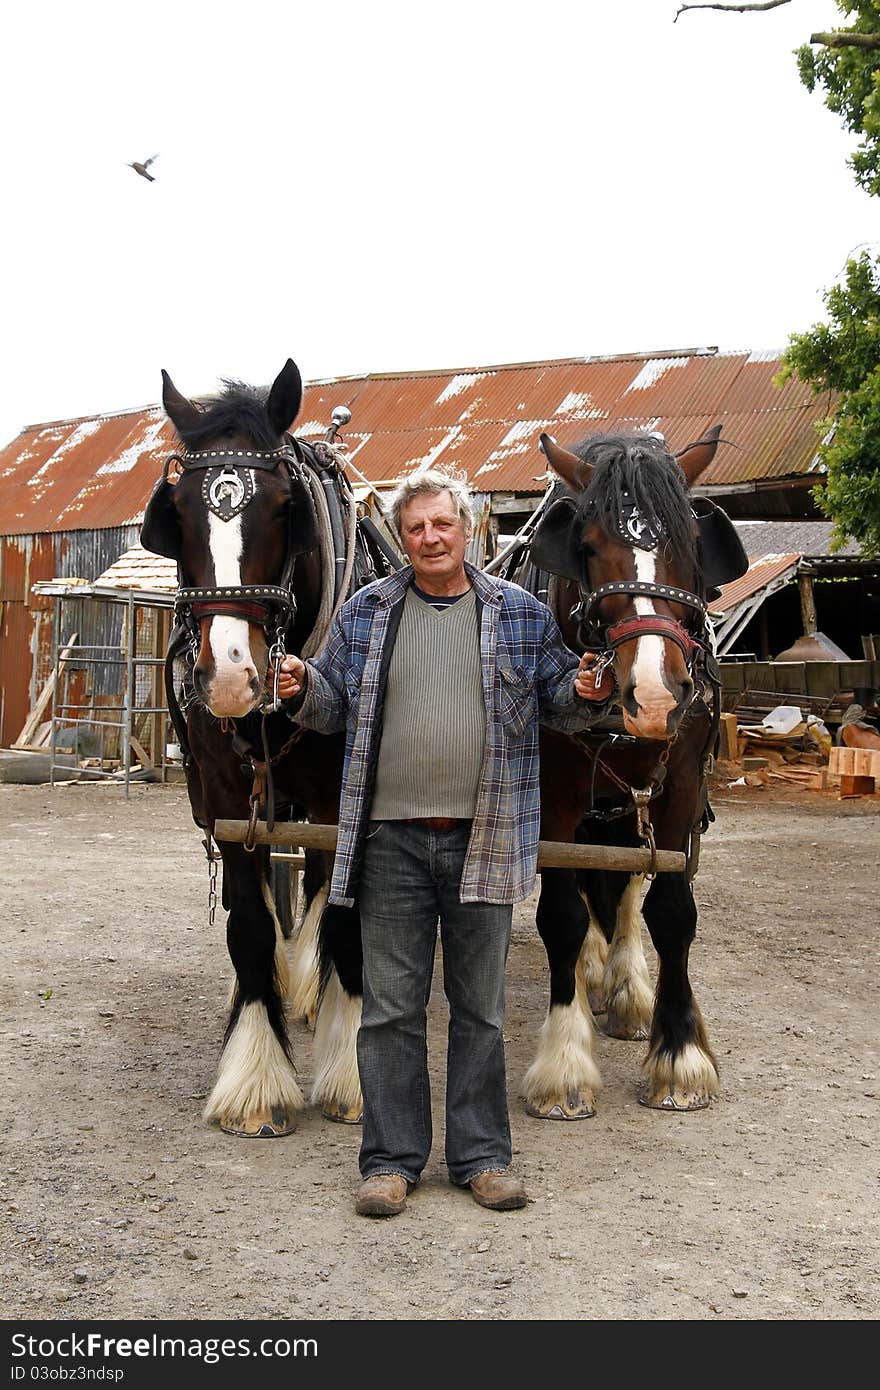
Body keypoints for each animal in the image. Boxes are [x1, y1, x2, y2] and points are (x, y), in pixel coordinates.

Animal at [139, 364, 394, 1134]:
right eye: (179, 511)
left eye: (284, 509)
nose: (229, 676)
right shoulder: (228, 798)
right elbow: (249, 926)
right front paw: (253, 1079)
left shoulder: (346, 798)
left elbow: (343, 916)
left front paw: (350, 1075)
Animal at [514, 428, 750, 1112]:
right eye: (588, 548)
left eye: (691, 543)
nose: (653, 696)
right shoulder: (557, 798)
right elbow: (561, 915)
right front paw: (565, 1064)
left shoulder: (680, 789)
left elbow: (669, 910)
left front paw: (679, 1054)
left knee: (620, 890)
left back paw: (626, 989)